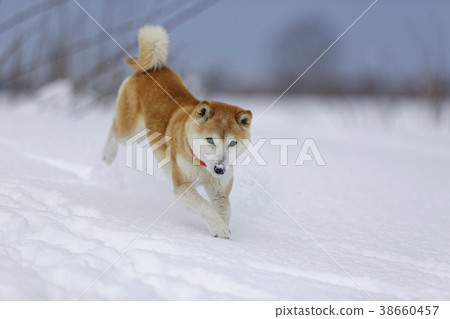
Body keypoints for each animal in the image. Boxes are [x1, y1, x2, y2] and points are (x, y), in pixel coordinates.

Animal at [103, 25, 253, 240]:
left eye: (233, 143)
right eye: (210, 139)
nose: (220, 169)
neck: (203, 166)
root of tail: (155, 68)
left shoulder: (220, 190)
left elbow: (224, 208)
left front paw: (223, 228)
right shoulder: (182, 187)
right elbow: (205, 206)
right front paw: (219, 228)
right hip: (129, 131)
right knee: (114, 128)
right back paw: (108, 154)